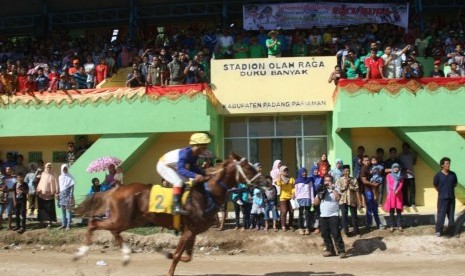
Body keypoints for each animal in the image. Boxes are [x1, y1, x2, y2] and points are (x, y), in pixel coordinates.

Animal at [71, 153, 262, 276]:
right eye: (248, 168)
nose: (265, 180)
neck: (207, 193)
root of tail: (115, 189)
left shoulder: (192, 231)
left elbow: (187, 257)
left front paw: (166, 253)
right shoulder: (189, 230)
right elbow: (178, 256)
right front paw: (169, 261)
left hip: (130, 220)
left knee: (113, 231)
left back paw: (126, 254)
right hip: (121, 219)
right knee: (94, 224)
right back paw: (81, 252)